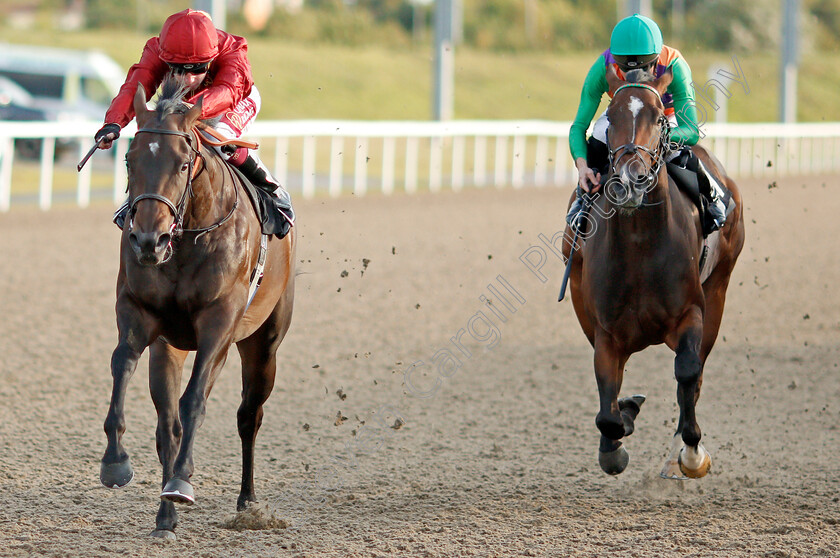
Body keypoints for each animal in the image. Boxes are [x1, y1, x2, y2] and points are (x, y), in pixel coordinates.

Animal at [99, 81, 296, 540]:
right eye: (130, 159)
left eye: (184, 162)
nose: (147, 240)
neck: (188, 237)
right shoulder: (139, 313)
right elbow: (122, 366)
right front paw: (115, 462)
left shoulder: (218, 325)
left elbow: (195, 403)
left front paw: (181, 482)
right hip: (169, 347)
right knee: (167, 425)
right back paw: (165, 517)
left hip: (264, 343)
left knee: (248, 416)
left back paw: (247, 502)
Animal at [560, 68, 744, 482]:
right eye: (610, 116)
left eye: (659, 118)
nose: (631, 180)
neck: (640, 245)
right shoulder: (606, 330)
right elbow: (608, 403)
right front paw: (616, 438)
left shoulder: (691, 311)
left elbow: (688, 372)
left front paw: (692, 454)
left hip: (720, 288)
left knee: (696, 374)